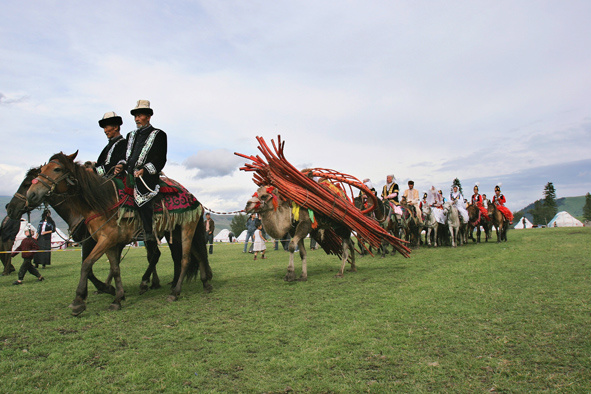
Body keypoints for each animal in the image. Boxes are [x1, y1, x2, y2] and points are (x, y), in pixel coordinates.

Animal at [20, 152, 213, 316]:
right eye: (41, 171)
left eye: (57, 169)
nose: (31, 195)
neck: (101, 202)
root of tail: (194, 198)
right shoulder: (109, 242)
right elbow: (115, 268)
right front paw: (117, 297)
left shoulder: (104, 240)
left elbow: (86, 264)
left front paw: (79, 301)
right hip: (176, 232)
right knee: (195, 254)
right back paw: (205, 283)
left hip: (186, 228)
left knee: (185, 258)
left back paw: (174, 291)